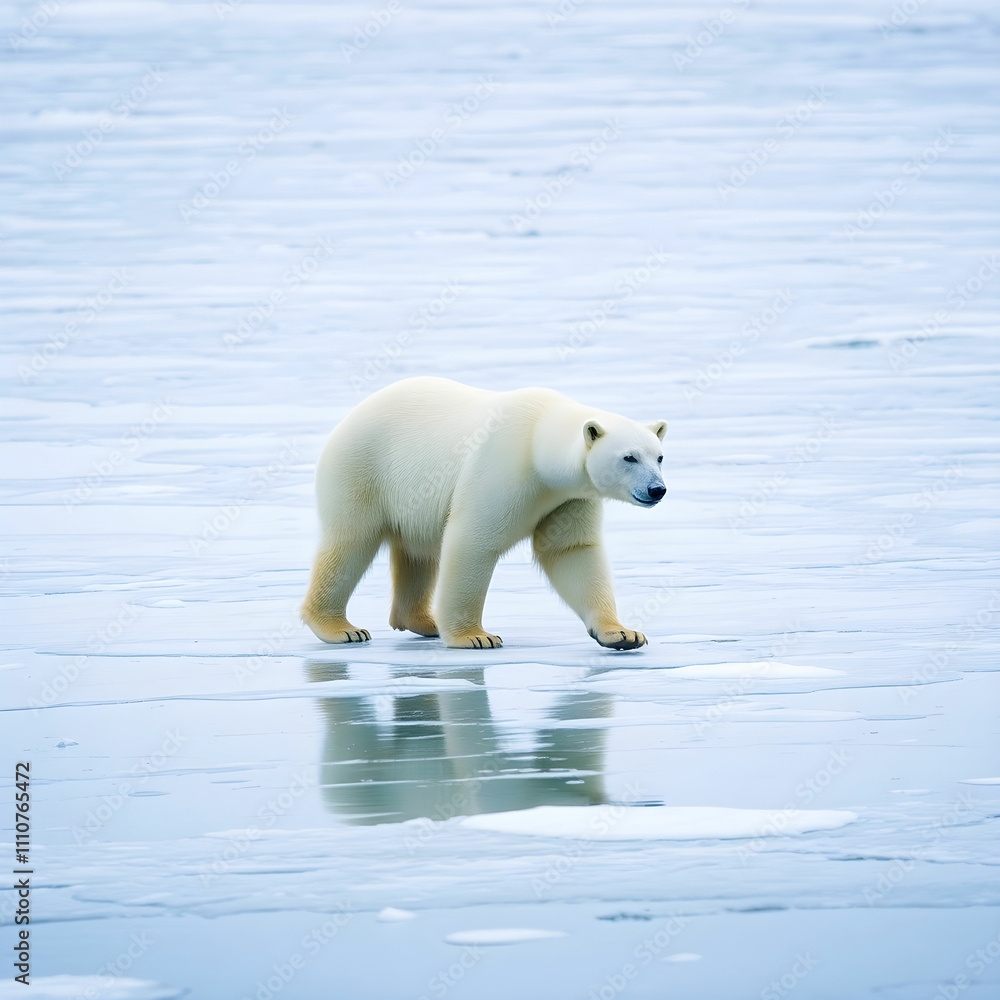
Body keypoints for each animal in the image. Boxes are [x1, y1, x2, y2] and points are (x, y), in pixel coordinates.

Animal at [301, 376, 667, 650]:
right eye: (629, 457)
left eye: (659, 456)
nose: (657, 490)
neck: (538, 439)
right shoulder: (502, 467)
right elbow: (473, 541)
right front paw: (475, 637)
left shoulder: (568, 497)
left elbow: (571, 551)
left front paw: (622, 633)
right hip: (362, 467)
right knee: (351, 542)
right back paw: (341, 628)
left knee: (418, 553)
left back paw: (424, 621)